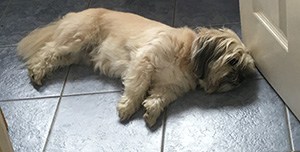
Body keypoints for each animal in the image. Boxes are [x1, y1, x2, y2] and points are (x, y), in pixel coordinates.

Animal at [17, 8, 254, 127]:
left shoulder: (170, 87)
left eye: (246, 71)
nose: (239, 79)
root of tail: (75, 14)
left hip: (73, 54)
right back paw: (36, 71)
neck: (188, 56)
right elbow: (137, 88)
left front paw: (151, 110)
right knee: (46, 52)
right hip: (75, 40)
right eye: (233, 61)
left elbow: (158, 97)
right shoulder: (144, 61)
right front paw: (128, 107)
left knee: (54, 57)